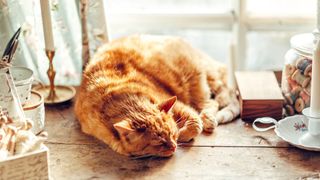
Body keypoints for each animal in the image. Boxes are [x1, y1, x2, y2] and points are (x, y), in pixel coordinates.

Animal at [75, 35, 239, 158]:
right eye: (159, 143)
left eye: (172, 134)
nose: (174, 146)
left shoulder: (178, 103)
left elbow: (195, 123)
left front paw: (183, 133)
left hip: (197, 81)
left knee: (214, 102)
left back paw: (210, 119)